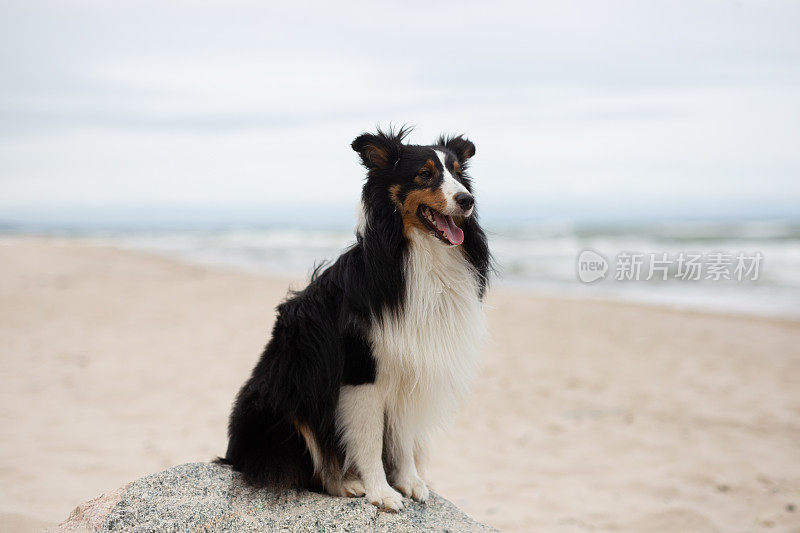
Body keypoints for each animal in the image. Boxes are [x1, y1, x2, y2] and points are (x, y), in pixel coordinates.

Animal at [217, 127, 488, 510]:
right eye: (425, 174)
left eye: (459, 173)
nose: (467, 200)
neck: (419, 255)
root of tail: (232, 455)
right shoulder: (361, 372)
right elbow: (370, 439)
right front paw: (381, 492)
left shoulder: (409, 367)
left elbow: (402, 438)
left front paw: (410, 482)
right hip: (286, 400)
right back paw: (345, 483)